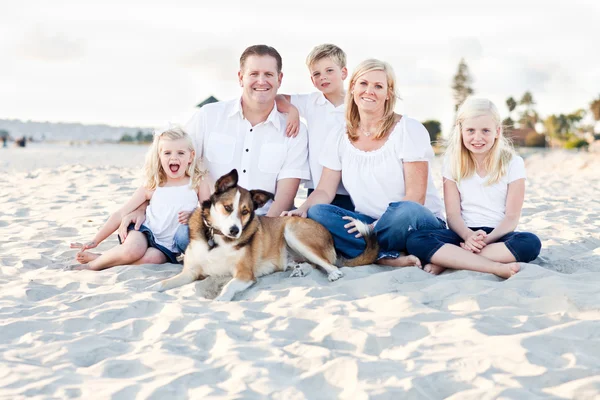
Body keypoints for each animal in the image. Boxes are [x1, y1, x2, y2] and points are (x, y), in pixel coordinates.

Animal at [148, 168, 378, 300]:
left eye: (245, 211)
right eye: (227, 207)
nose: (235, 231)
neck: (218, 240)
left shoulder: (244, 275)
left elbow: (228, 287)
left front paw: (220, 301)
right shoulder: (191, 272)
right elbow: (165, 283)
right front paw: (152, 287)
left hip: (292, 229)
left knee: (330, 265)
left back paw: (331, 273)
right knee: (312, 264)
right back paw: (299, 269)